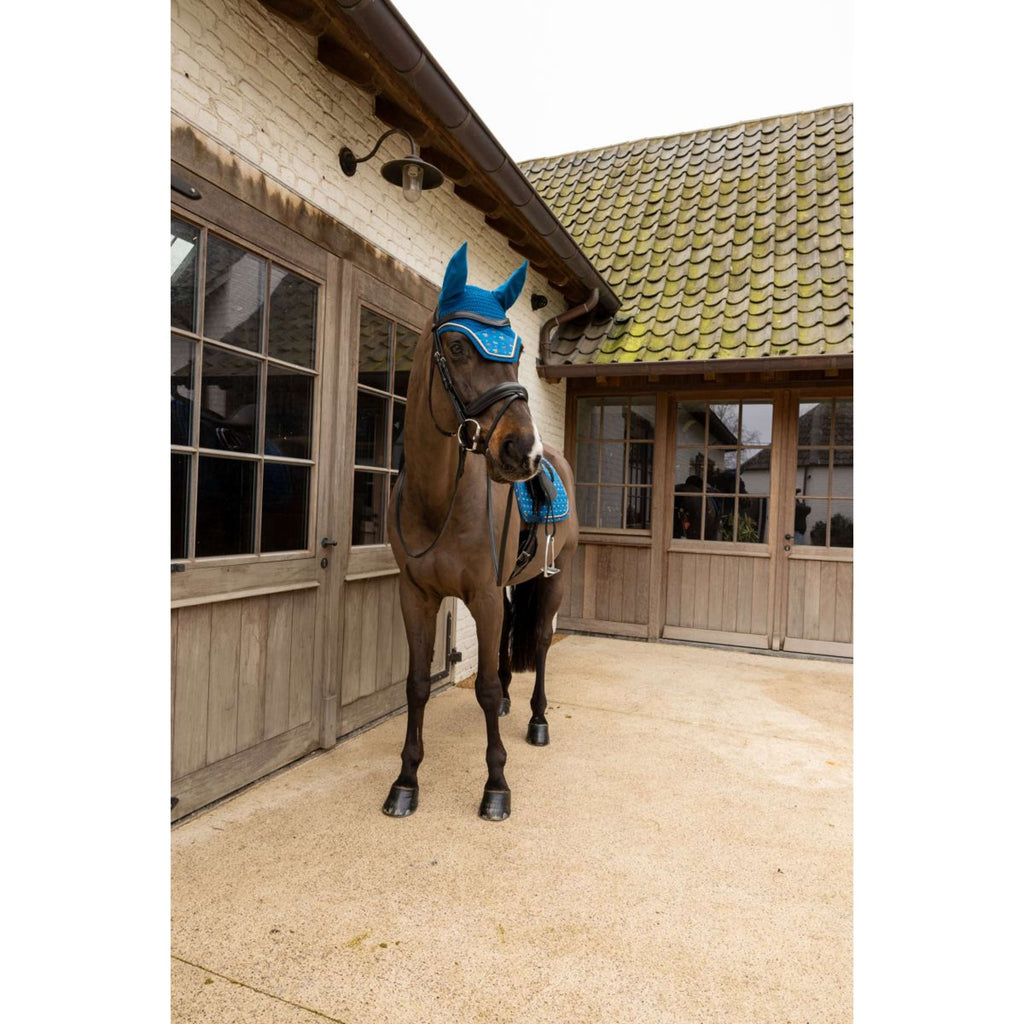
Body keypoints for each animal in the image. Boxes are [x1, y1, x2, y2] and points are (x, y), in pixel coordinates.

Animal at [382, 243, 579, 821]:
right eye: (455, 346)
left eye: (517, 350)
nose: (522, 452)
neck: (438, 502)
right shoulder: (416, 595)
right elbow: (417, 684)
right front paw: (406, 780)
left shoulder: (485, 597)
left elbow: (486, 686)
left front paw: (496, 785)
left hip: (555, 577)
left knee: (540, 641)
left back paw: (537, 719)